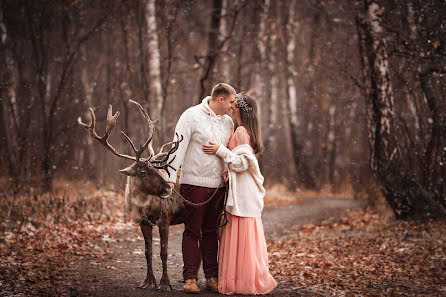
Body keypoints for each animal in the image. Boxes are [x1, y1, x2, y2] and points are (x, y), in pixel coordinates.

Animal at [77, 99, 186, 290]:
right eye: (143, 172)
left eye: (156, 169)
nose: (168, 189)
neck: (145, 206)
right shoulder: (143, 223)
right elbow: (148, 251)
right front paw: (148, 281)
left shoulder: (165, 220)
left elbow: (164, 252)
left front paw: (165, 283)